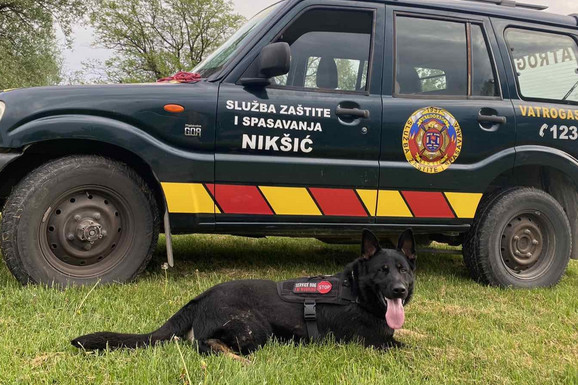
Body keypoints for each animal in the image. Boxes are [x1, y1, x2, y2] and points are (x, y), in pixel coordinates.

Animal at [72, 228, 414, 354]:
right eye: (382, 270)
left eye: (404, 270)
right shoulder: (376, 343)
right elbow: (412, 348)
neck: (353, 291)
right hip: (254, 328)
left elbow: (413, 335)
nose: (399, 290)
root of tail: (199, 298)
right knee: (207, 345)